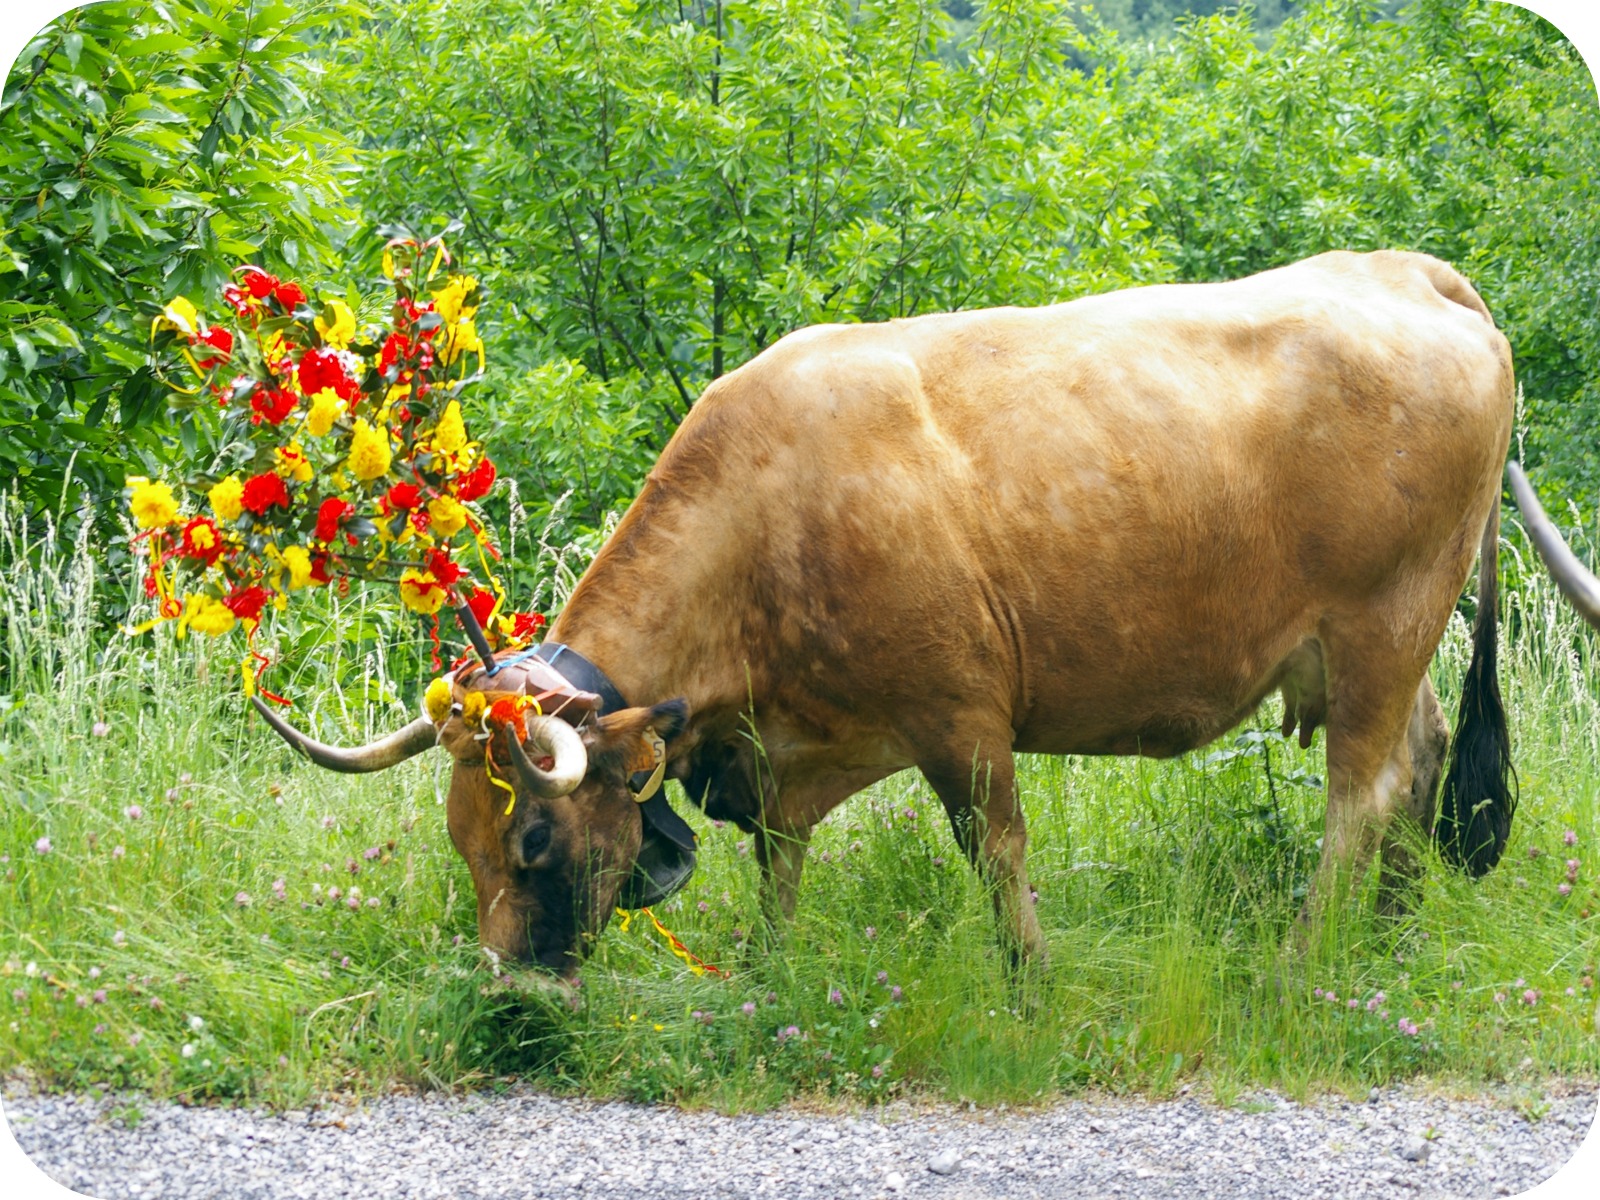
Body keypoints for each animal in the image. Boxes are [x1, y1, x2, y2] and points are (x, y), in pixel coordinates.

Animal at [256, 251, 1516, 979]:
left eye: (528, 840)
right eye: (460, 837)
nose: (512, 985)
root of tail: (1407, 272)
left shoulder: (960, 714)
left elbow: (995, 855)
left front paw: (1029, 986)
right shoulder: (787, 754)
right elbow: (778, 859)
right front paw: (769, 973)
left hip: (1383, 622)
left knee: (1361, 797)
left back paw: (1304, 962)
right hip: (1377, 650)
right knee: (1418, 761)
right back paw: (1391, 942)